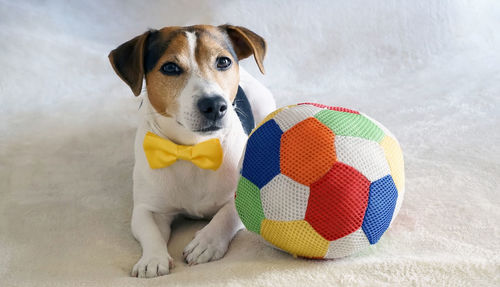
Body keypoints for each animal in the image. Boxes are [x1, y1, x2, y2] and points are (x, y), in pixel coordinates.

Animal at [107, 25, 276, 280]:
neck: (193, 148)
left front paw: (206, 242)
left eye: (223, 62)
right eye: (170, 68)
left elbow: (227, 214)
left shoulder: (245, 197)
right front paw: (152, 260)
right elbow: (149, 230)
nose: (214, 105)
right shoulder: (148, 208)